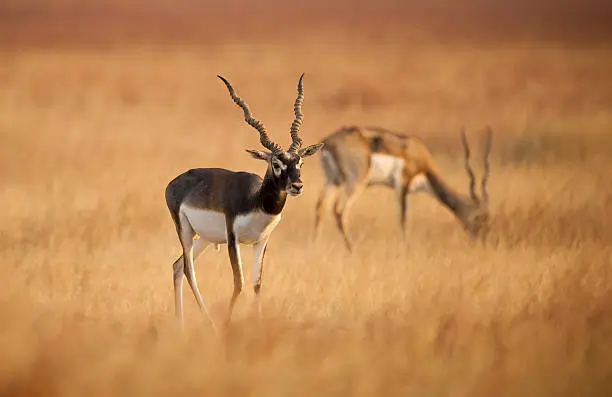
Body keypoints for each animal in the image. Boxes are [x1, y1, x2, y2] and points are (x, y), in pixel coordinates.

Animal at [163, 74, 326, 328]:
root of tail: (173, 182)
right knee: (189, 270)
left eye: (300, 162)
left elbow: (256, 283)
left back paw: (180, 324)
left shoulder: (262, 241)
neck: (256, 202)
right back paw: (209, 322)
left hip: (205, 238)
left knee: (178, 266)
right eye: (276, 163)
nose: (297, 186)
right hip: (185, 231)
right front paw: (228, 324)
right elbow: (238, 282)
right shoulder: (233, 239)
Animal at [316, 125, 492, 249]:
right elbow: (403, 218)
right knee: (339, 210)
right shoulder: (402, 184)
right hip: (356, 182)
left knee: (320, 207)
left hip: (333, 181)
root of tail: (329, 142)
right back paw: (352, 249)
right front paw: (407, 250)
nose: (482, 241)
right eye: (479, 217)